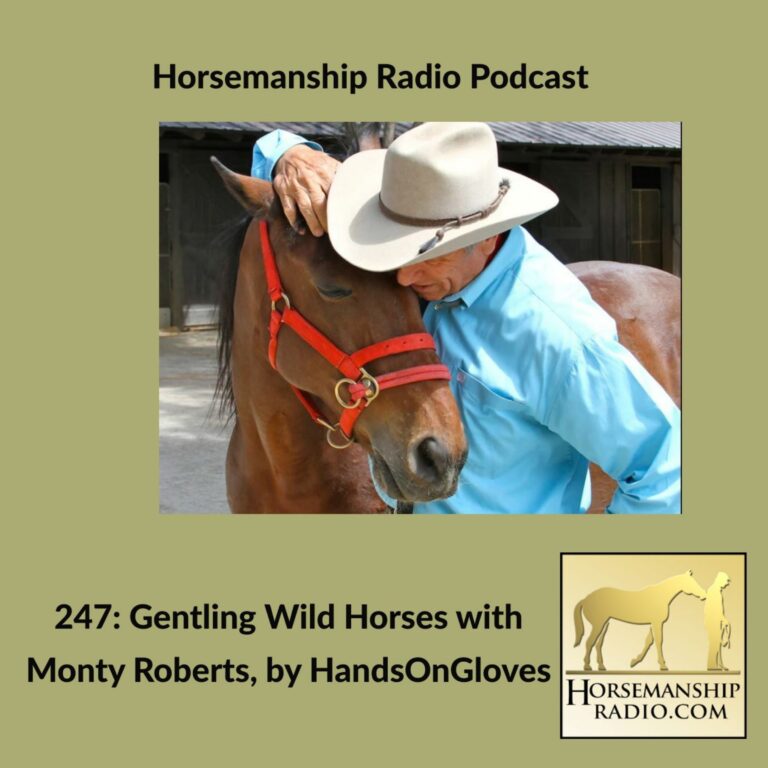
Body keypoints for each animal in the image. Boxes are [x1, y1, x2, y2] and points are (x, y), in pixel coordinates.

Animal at [573, 570, 706, 671]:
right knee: (589, 642)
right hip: (598, 624)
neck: (660, 595)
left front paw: (634, 661)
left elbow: (649, 641)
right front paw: (663, 666)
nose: (704, 595)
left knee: (598, 644)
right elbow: (658, 641)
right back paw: (587, 666)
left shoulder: (653, 623)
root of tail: (585, 599)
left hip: (605, 624)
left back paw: (601, 666)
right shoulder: (657, 623)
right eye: (691, 582)